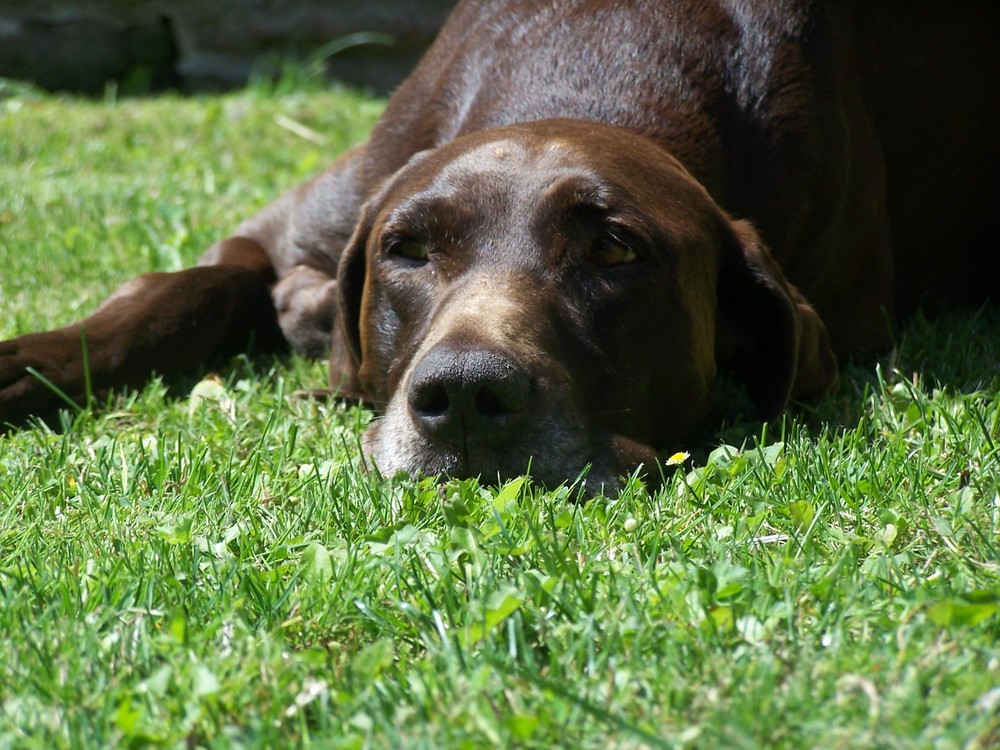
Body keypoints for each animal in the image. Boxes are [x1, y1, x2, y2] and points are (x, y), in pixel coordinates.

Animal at [0, 0, 996, 490]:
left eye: (615, 253)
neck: (597, 66)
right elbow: (179, 291)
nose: (466, 399)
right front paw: (26, 364)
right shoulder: (295, 225)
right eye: (407, 249)